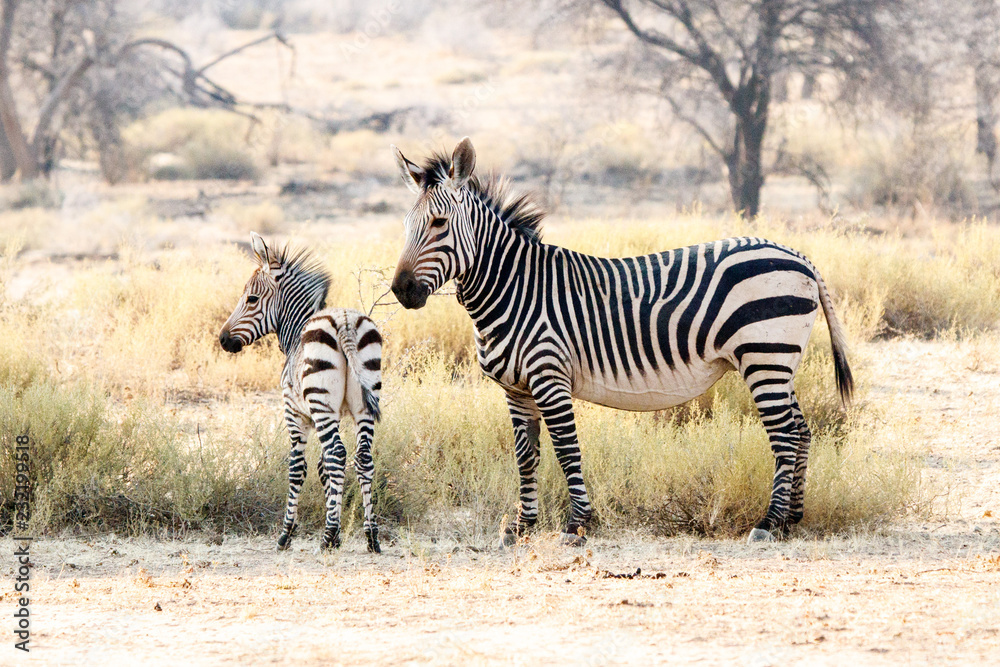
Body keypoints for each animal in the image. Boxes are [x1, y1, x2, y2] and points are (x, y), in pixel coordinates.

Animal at [219, 232, 384, 553]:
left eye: (251, 299)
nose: (222, 340)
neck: (296, 332)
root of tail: (344, 321)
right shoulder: (331, 413)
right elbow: (323, 469)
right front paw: (338, 530)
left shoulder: (295, 412)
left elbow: (299, 467)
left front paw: (288, 534)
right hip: (364, 403)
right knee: (362, 457)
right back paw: (371, 536)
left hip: (320, 403)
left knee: (338, 453)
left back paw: (327, 536)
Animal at [389, 138, 853, 546]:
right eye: (406, 226)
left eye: (439, 224)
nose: (401, 290)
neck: (515, 289)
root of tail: (797, 255)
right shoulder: (515, 389)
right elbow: (526, 457)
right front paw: (520, 527)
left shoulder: (550, 378)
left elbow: (566, 449)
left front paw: (577, 525)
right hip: (777, 362)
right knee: (802, 429)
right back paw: (791, 519)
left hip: (765, 357)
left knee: (786, 434)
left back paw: (768, 523)